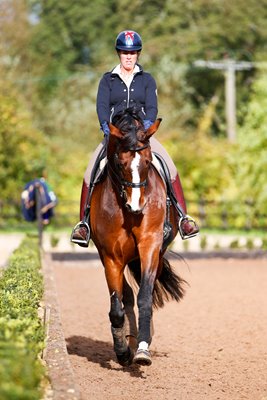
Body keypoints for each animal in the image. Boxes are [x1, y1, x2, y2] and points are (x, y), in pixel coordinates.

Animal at [90, 108, 186, 366]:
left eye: (147, 161)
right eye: (119, 162)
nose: (136, 206)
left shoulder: (150, 247)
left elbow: (145, 298)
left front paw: (143, 349)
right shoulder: (111, 258)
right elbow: (117, 307)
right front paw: (123, 350)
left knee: (145, 294)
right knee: (127, 297)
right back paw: (129, 341)